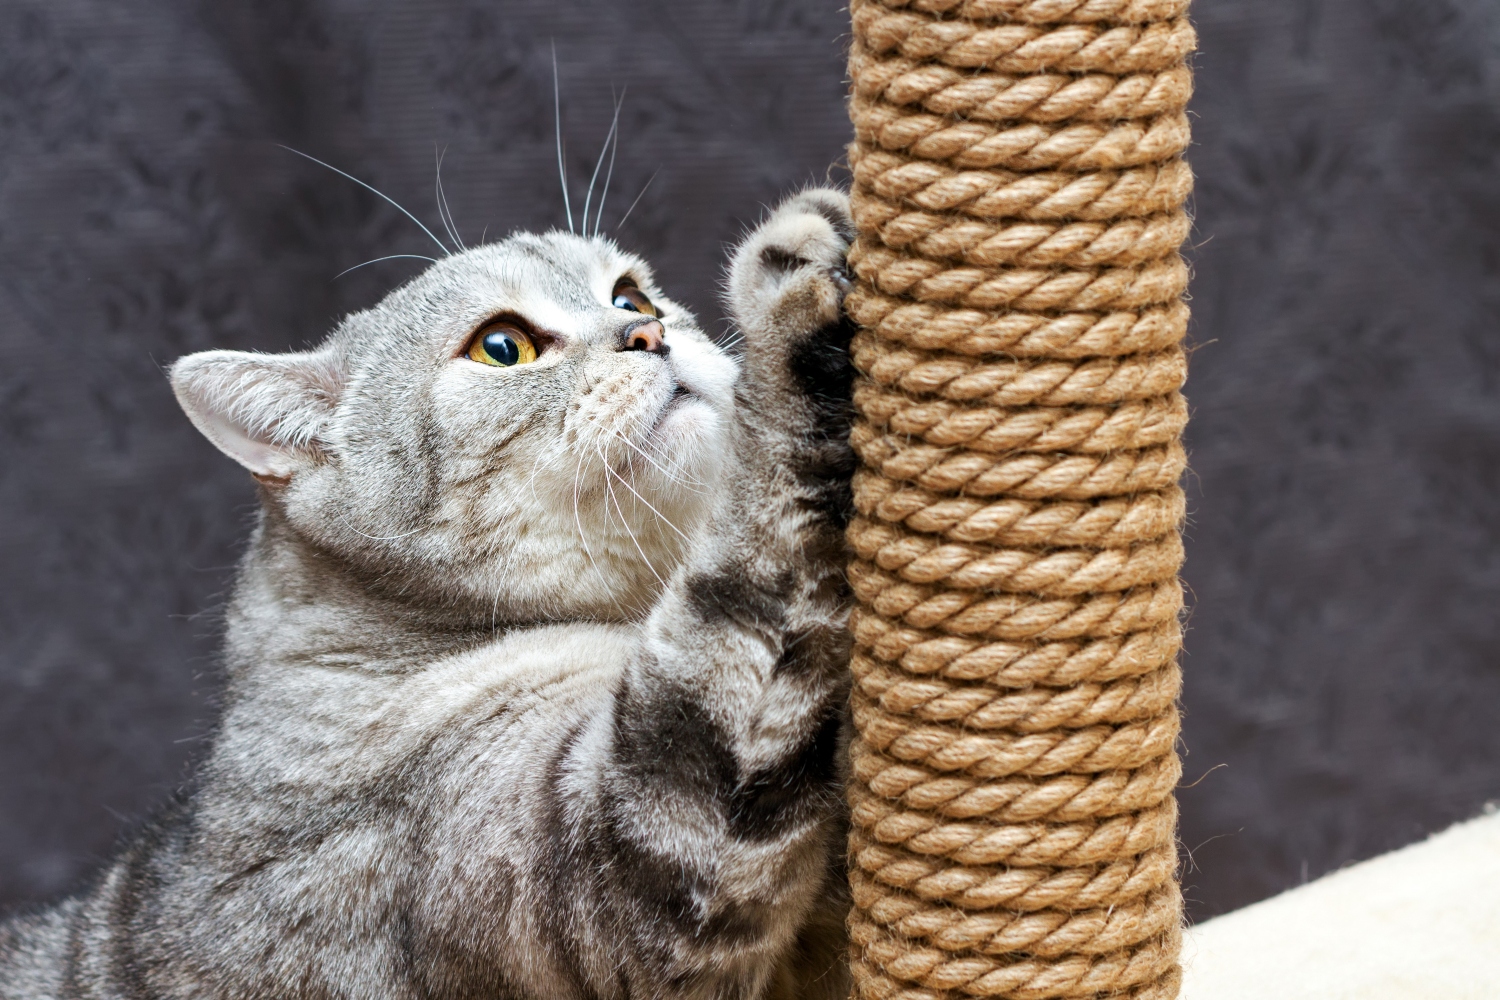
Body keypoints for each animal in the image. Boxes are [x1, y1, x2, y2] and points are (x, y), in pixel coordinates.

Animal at [0, 187, 864, 1000]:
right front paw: (795, 292)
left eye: (631, 296)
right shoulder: (639, 859)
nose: (651, 333)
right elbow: (765, 524)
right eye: (503, 346)